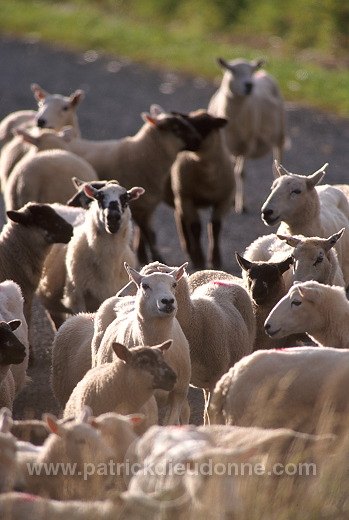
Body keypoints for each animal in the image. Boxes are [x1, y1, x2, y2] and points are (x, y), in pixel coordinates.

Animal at [162, 108, 234, 270]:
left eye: (205, 125)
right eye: (187, 124)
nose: (184, 144)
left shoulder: (223, 200)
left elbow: (215, 227)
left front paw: (215, 260)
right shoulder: (186, 198)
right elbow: (196, 228)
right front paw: (200, 260)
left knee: (180, 218)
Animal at [207, 59, 286, 215]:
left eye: (251, 71)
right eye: (232, 70)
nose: (249, 85)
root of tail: (263, 73)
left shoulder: (247, 145)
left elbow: (241, 173)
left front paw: (241, 205)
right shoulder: (225, 145)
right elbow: (231, 172)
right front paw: (230, 201)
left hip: (280, 134)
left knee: (277, 159)